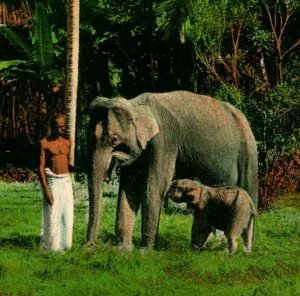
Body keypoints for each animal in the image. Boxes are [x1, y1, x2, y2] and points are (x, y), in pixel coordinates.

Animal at [86, 91, 258, 249]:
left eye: (114, 140)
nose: (90, 246)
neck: (135, 104)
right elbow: (129, 188)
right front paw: (125, 250)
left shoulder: (164, 142)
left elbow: (155, 187)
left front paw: (145, 251)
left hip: (248, 148)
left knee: (250, 189)